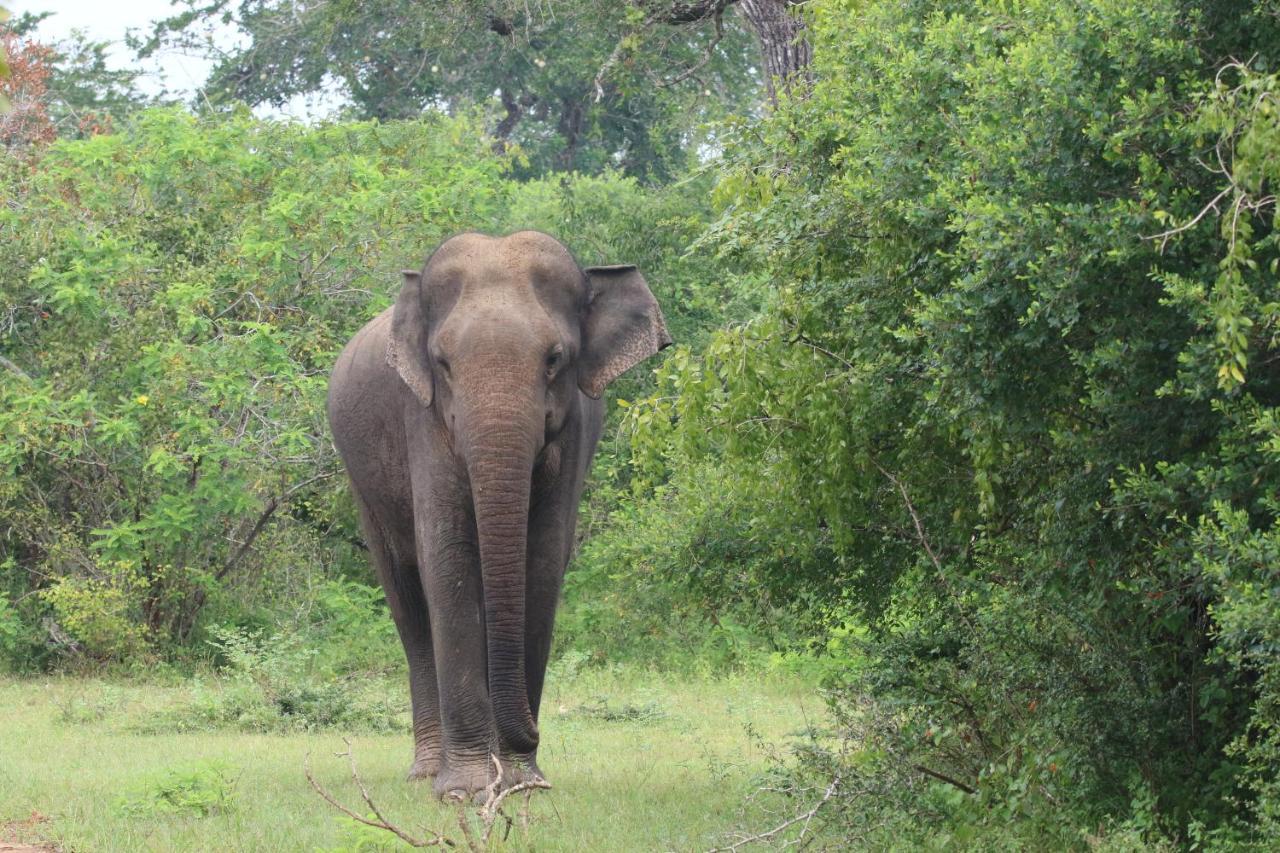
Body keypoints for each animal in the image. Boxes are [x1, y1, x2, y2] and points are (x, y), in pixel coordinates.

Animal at [325, 227, 670, 799]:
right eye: (442, 363)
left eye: (555, 358)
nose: (532, 731)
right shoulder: (421, 417)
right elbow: (447, 559)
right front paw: (464, 791)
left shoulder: (575, 431)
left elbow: (543, 560)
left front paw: (521, 783)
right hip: (361, 481)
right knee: (408, 604)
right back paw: (427, 773)